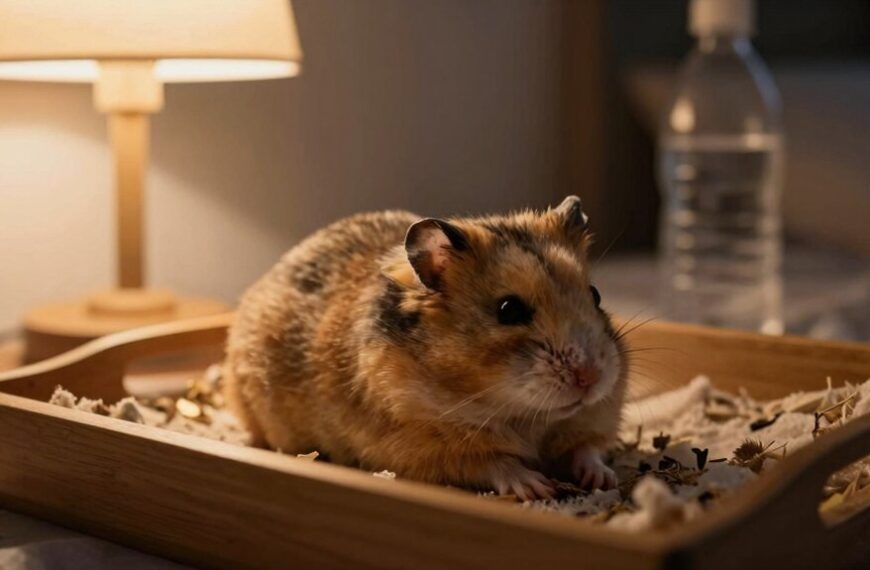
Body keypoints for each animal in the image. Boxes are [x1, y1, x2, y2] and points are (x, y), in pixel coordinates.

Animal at [223, 196, 627, 500]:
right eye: (508, 310)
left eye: (595, 295)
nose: (591, 378)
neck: (525, 415)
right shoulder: (426, 448)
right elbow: (496, 463)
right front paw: (537, 487)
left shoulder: (594, 418)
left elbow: (587, 449)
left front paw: (603, 479)